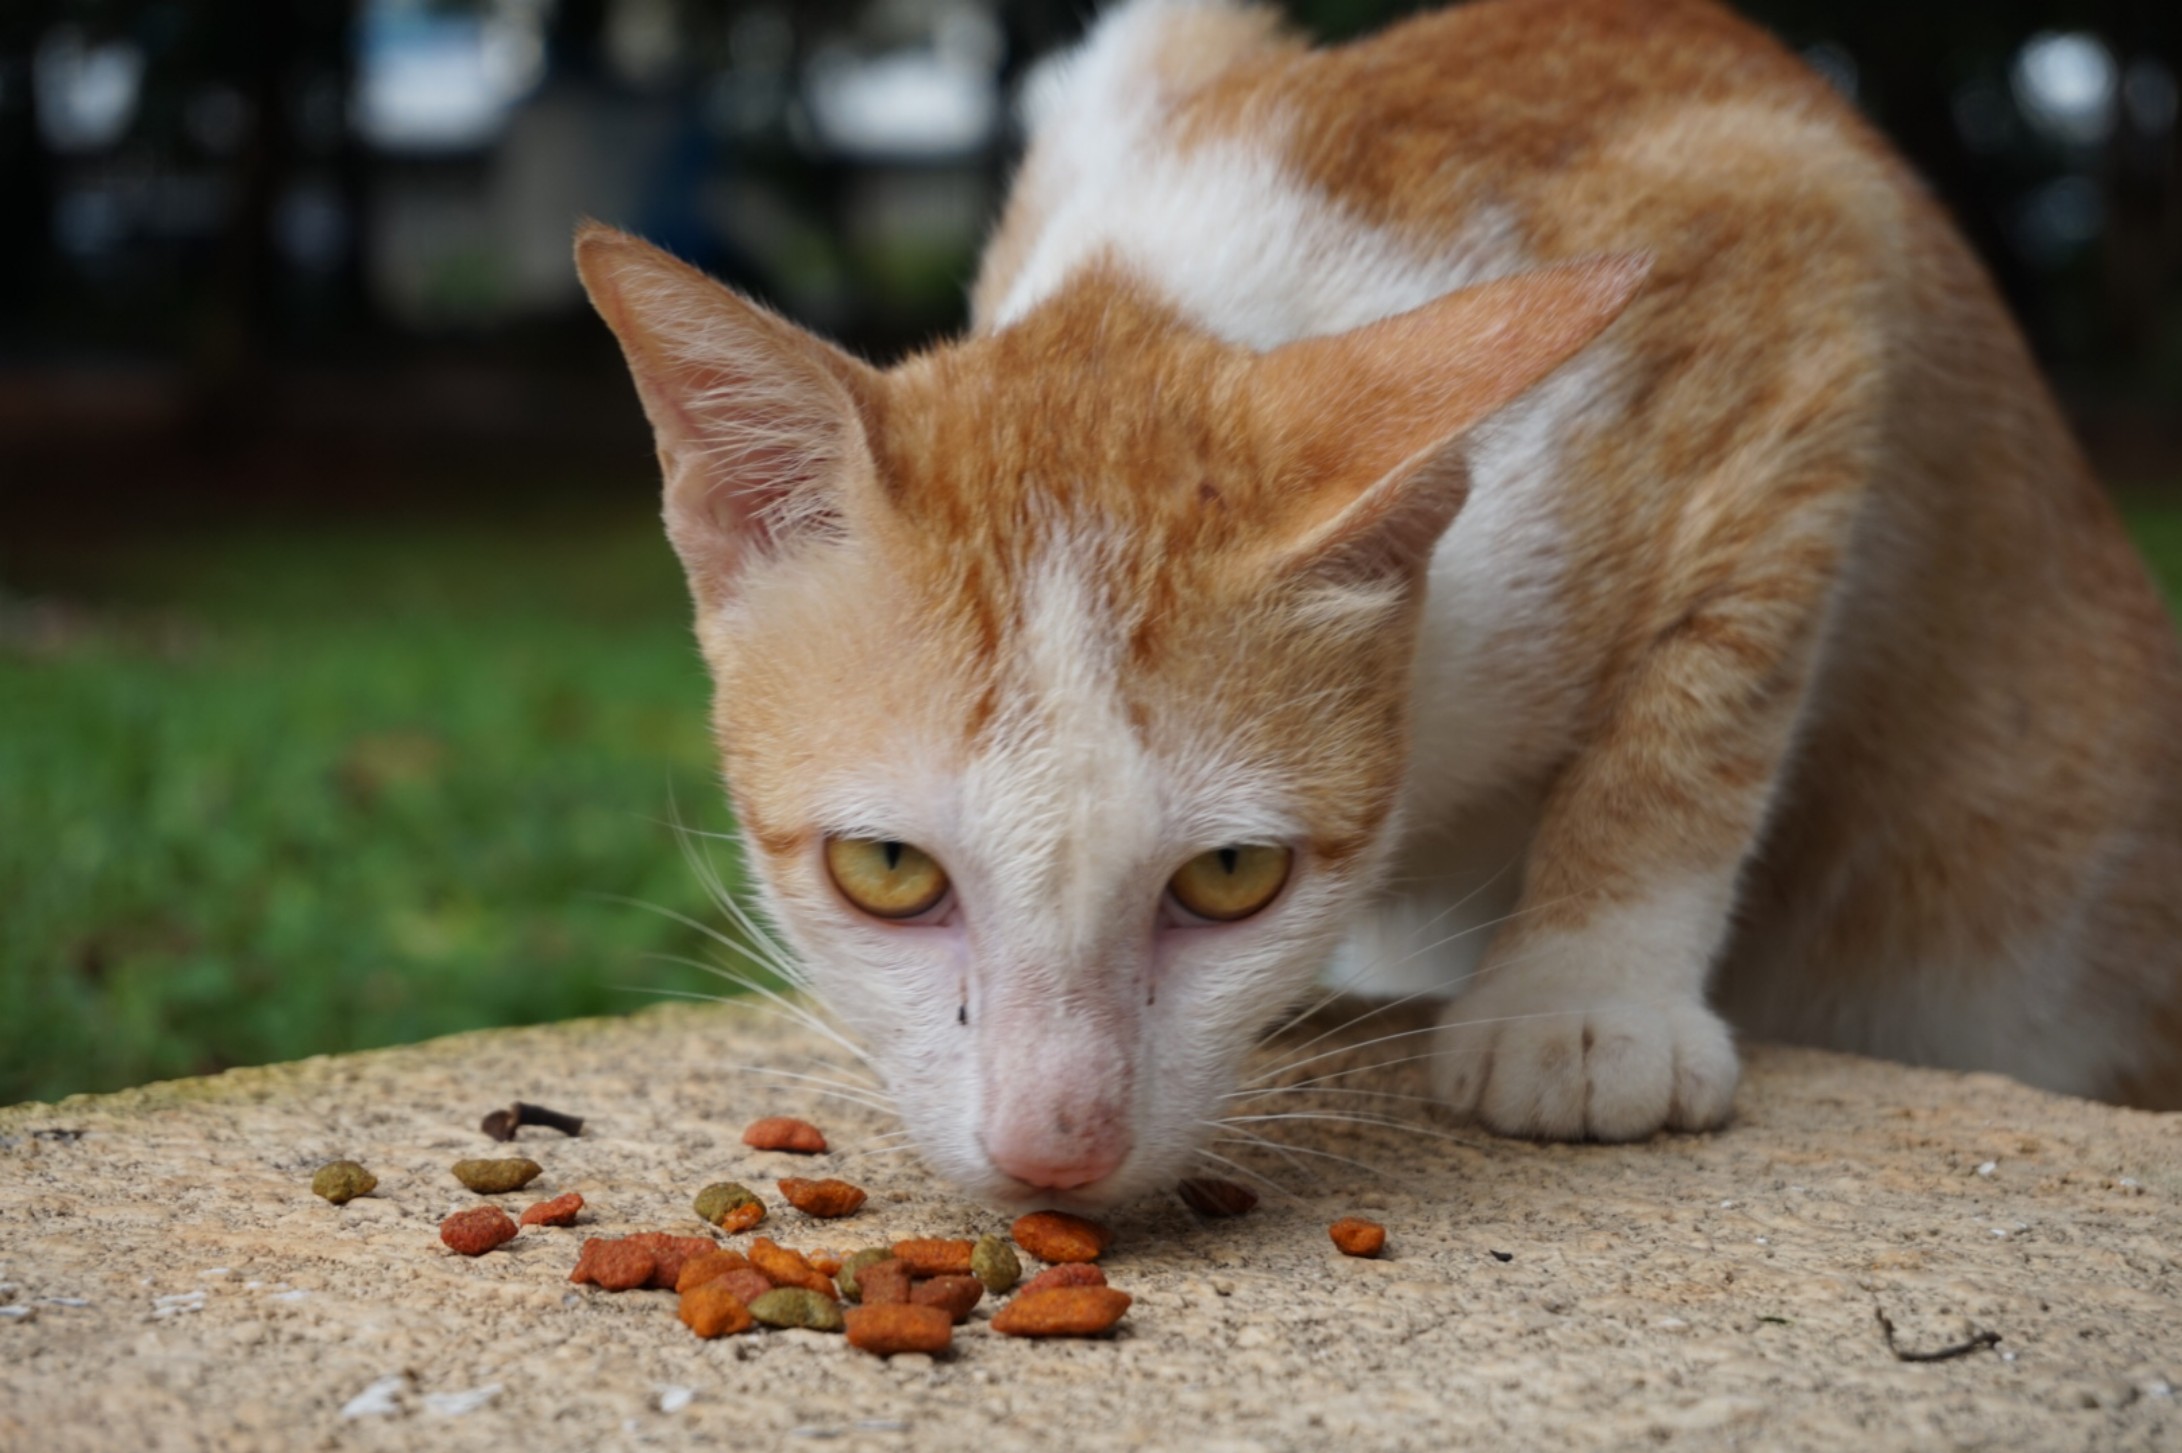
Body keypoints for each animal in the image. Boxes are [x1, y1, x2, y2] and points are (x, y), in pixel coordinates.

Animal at [576, 0, 2182, 1204]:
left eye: (1232, 877)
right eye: (887, 871)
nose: (1054, 1148)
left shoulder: (1800, 231)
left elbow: (1706, 685)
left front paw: (1585, 1001)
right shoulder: (1147, 54)